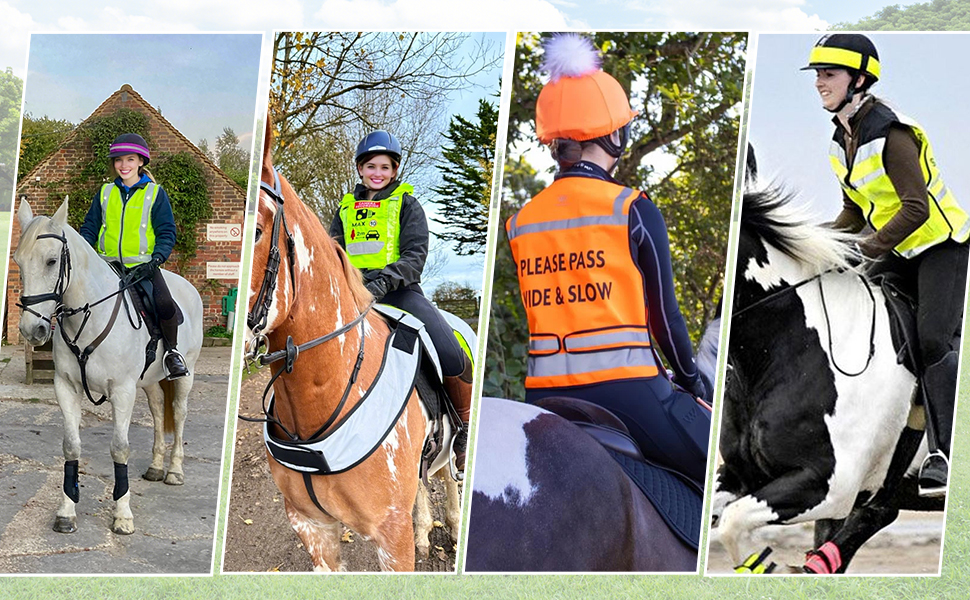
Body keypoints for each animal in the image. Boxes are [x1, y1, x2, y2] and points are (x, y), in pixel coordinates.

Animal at [14, 198, 203, 535]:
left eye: (51, 261)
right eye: (19, 263)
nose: (31, 330)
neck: (89, 318)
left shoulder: (123, 391)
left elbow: (120, 448)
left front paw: (123, 515)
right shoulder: (66, 387)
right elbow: (71, 446)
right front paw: (66, 511)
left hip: (185, 375)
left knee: (179, 414)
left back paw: (174, 471)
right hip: (150, 381)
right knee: (158, 411)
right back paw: (156, 467)